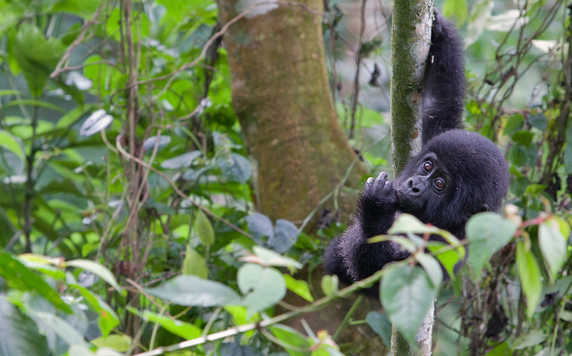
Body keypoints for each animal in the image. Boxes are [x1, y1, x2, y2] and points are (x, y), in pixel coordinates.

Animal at [322, 10, 510, 286]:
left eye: (440, 184)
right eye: (427, 165)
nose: (414, 185)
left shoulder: (445, 244)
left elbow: (390, 274)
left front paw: (376, 212)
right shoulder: (439, 132)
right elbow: (438, 103)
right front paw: (440, 31)